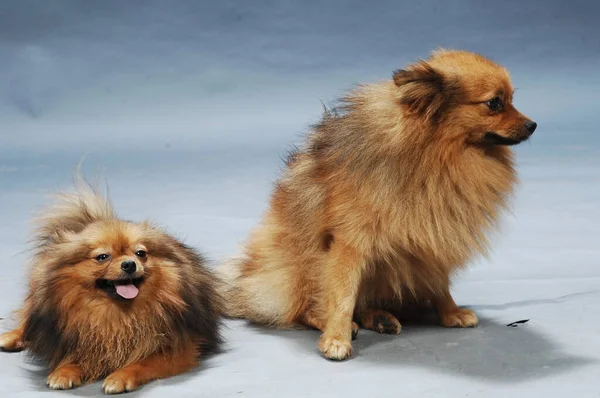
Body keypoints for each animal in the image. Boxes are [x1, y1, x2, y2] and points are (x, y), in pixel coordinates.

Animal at [0, 178, 223, 394]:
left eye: (140, 253)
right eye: (102, 257)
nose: (129, 264)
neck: (117, 314)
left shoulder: (177, 348)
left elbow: (141, 362)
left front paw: (120, 377)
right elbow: (75, 356)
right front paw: (64, 372)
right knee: (29, 321)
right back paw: (10, 337)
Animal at [220, 49, 540, 360]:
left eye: (512, 99)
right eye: (495, 103)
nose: (533, 125)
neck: (434, 154)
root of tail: (245, 280)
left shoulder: (433, 236)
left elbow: (440, 283)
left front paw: (450, 313)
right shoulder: (350, 243)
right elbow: (342, 294)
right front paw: (336, 339)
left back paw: (379, 318)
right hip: (302, 266)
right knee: (303, 309)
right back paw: (338, 323)